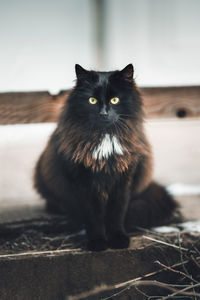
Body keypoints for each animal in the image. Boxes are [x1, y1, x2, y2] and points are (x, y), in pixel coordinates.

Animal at [34, 65, 180, 251]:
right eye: (92, 101)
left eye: (115, 100)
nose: (103, 113)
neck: (105, 139)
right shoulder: (83, 182)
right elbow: (94, 218)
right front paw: (97, 242)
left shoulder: (124, 180)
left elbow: (116, 215)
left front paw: (118, 239)